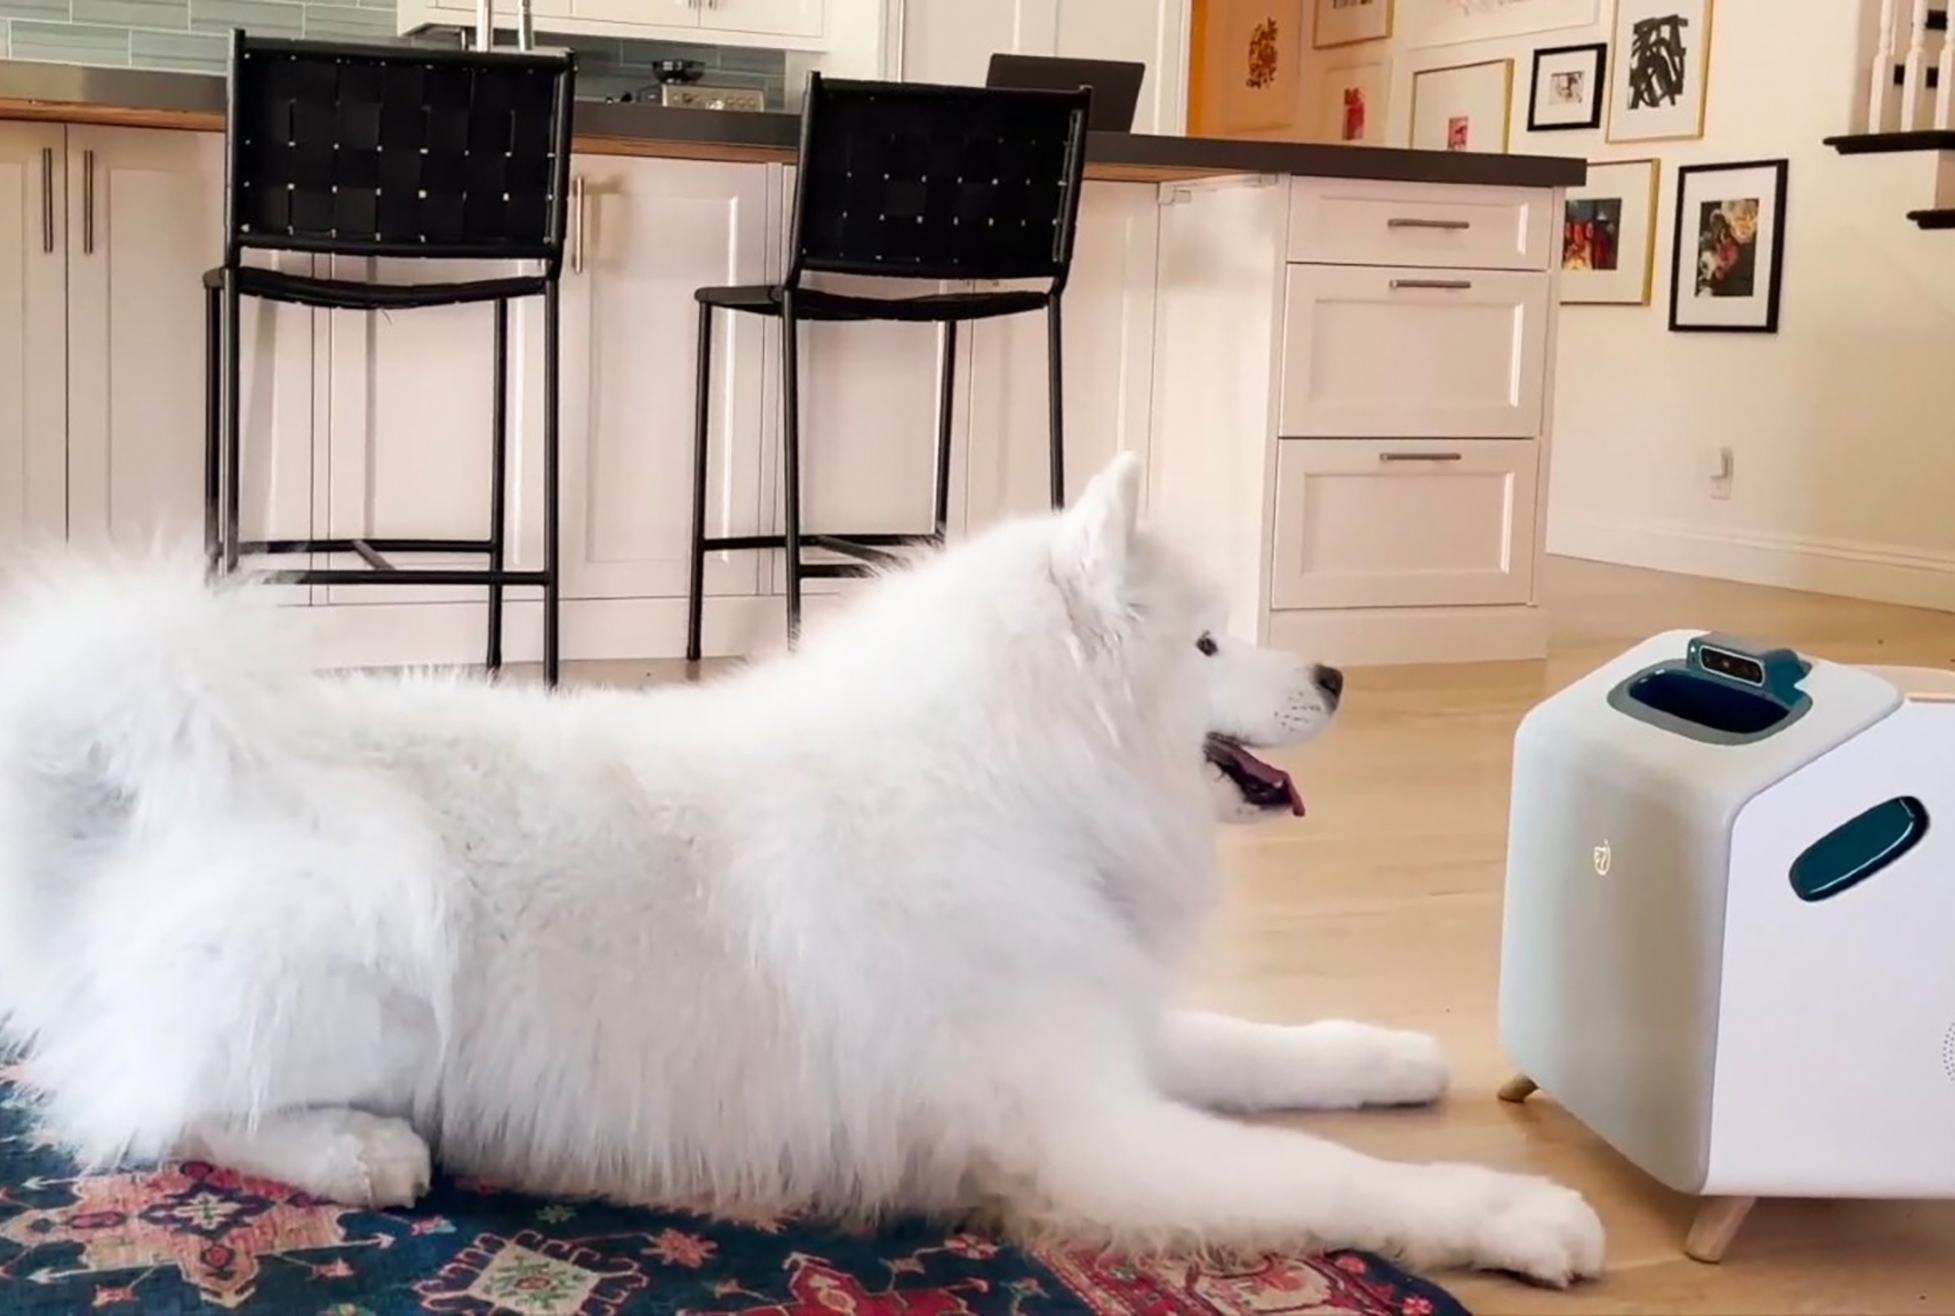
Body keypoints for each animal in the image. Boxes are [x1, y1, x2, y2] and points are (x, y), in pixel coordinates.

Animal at [0, 453, 1603, 1282]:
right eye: (1207, 642)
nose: (1335, 672)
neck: (1005, 789)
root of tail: (136, 798)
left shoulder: (1107, 1031)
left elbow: (1269, 1054)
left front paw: (1391, 1051)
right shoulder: (1081, 1132)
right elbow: (1321, 1174)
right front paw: (1517, 1214)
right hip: (372, 918)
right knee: (147, 1107)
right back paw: (356, 1147)